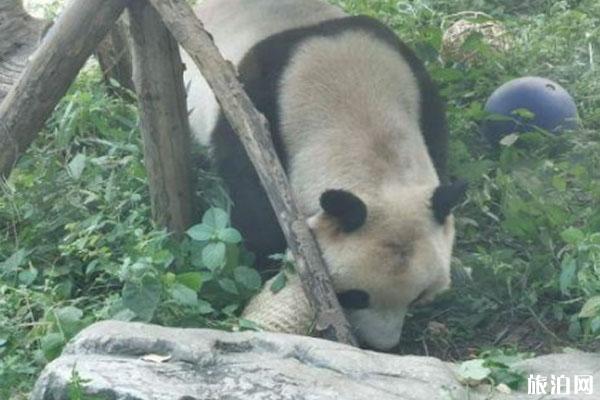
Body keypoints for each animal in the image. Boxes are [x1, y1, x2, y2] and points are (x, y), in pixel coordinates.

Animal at [180, 0, 466, 350]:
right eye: (356, 297)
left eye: (417, 296)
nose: (382, 345)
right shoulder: (252, 110)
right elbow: (253, 205)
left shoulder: (419, 89)